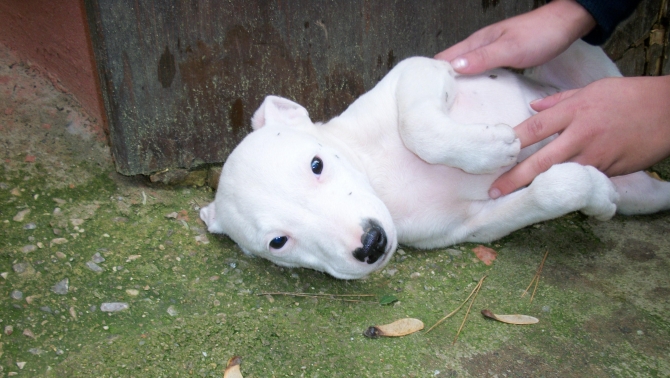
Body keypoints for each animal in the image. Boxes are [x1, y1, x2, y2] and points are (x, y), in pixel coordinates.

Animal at [202, 39, 670, 280]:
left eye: (317, 165)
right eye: (278, 242)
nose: (371, 245)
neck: (381, 177)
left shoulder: (419, 70)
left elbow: (418, 124)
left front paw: (491, 148)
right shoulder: (471, 226)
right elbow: (548, 192)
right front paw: (594, 193)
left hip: (573, 54)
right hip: (642, 194)